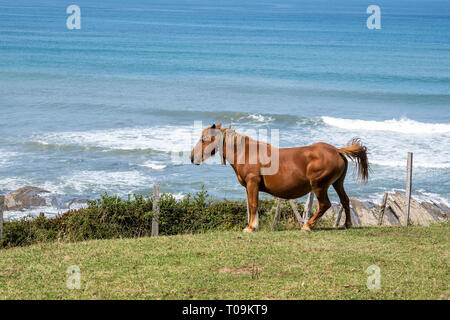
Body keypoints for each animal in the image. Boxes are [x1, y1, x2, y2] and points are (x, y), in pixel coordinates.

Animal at [190, 123, 370, 232]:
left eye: (204, 139)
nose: (192, 157)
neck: (246, 153)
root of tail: (336, 150)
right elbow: (251, 205)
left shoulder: (252, 183)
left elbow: (253, 205)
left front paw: (251, 227)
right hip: (337, 183)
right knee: (345, 201)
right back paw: (347, 225)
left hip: (319, 185)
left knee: (325, 204)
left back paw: (307, 226)